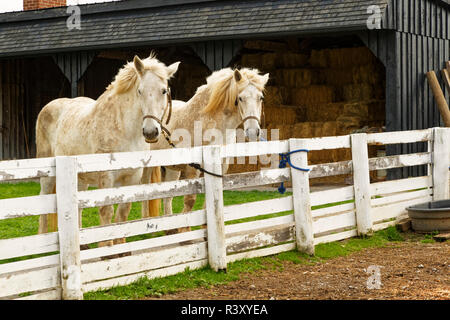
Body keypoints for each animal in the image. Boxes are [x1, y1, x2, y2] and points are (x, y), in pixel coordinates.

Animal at [35, 54, 179, 245]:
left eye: (163, 91)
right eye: (139, 91)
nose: (150, 132)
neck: (124, 130)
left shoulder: (132, 177)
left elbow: (123, 212)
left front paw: (120, 247)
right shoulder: (107, 177)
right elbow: (106, 212)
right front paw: (107, 247)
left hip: (81, 178)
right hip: (48, 176)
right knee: (43, 200)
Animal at [143, 67, 270, 222]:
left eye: (261, 98)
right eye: (240, 98)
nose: (252, 132)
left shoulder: (220, 166)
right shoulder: (193, 167)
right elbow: (189, 201)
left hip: (172, 169)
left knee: (167, 198)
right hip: (148, 168)